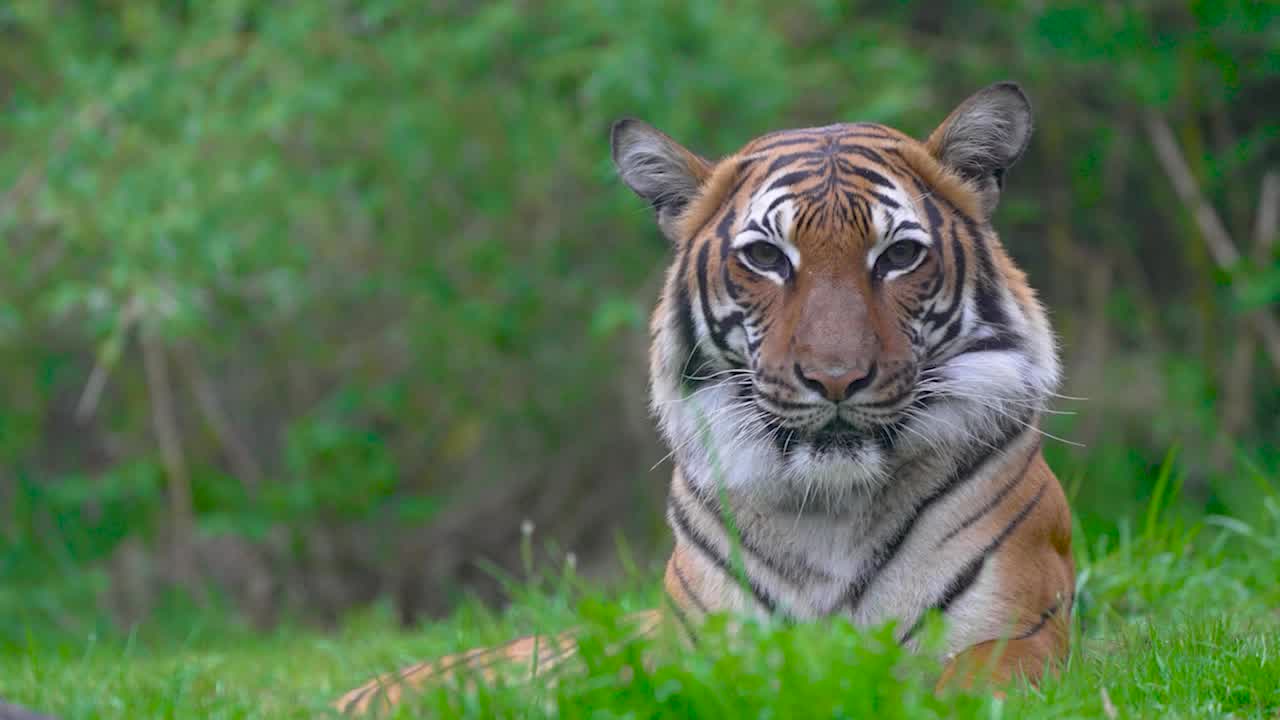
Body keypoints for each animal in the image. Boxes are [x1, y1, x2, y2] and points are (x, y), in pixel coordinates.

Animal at [335, 81, 1075, 715]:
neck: (833, 510)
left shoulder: (1021, 627)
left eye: (898, 256)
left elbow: (965, 682)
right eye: (767, 258)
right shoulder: (700, 654)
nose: (835, 377)